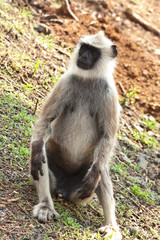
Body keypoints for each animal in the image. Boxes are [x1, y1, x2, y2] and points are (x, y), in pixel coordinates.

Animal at [29, 31, 121, 238]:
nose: (84, 57)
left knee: (99, 169)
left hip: (82, 190)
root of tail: (64, 190)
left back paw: (111, 226)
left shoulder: (109, 93)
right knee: (42, 156)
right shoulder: (66, 82)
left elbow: (107, 137)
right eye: (84, 48)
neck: (88, 80)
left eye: (93, 52)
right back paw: (46, 206)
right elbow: (45, 121)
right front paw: (36, 151)